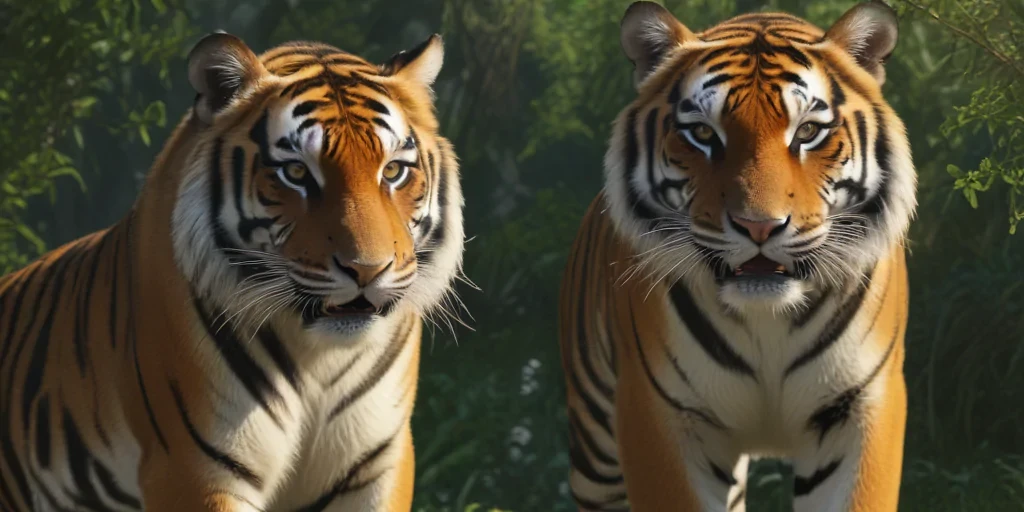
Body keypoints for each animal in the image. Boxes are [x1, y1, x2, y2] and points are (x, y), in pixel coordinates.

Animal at [0, 30, 464, 512]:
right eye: (296, 172)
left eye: (392, 171)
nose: (367, 270)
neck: (318, 358)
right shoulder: (193, 468)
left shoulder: (378, 462)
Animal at [559, 1, 916, 511]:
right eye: (702, 133)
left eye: (808, 131)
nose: (759, 226)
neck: (769, 320)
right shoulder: (660, 412)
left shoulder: (862, 405)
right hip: (596, 451)